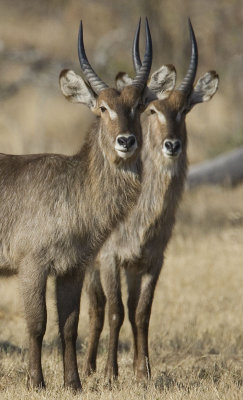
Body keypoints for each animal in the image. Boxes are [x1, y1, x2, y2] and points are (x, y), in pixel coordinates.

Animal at [0, 20, 152, 390]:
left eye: (139, 105)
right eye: (102, 108)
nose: (126, 140)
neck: (75, 188)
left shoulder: (74, 268)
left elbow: (69, 325)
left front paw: (74, 383)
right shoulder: (33, 265)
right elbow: (37, 324)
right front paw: (36, 383)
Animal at [83, 19, 218, 382]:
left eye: (185, 109)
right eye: (154, 110)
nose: (172, 145)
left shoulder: (153, 261)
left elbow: (141, 312)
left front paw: (143, 372)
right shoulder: (111, 258)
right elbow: (115, 312)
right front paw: (110, 374)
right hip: (91, 266)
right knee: (97, 309)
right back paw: (88, 368)